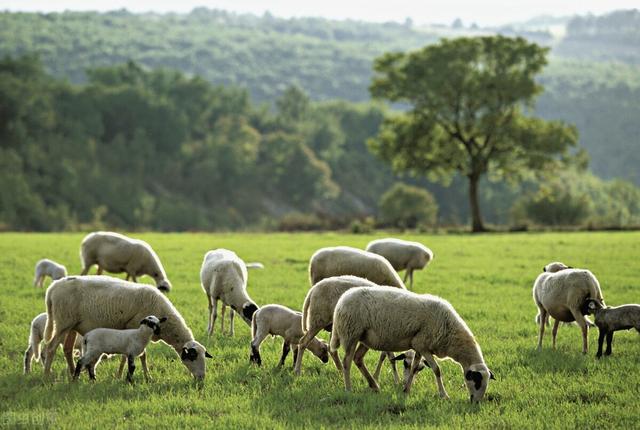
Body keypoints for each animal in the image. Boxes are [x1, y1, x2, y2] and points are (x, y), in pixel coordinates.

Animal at [43, 276, 212, 380]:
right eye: (192, 356)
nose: (201, 378)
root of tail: (52, 288)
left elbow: (138, 355)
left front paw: (143, 376)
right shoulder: (134, 329)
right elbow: (138, 355)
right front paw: (137, 376)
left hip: (71, 325)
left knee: (67, 349)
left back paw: (73, 374)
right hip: (63, 322)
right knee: (51, 348)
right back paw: (47, 375)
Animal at [330, 286, 496, 404]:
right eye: (477, 381)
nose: (476, 402)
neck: (451, 333)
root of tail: (340, 302)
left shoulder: (419, 346)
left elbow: (414, 367)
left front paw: (406, 390)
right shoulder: (423, 344)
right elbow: (437, 370)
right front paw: (444, 395)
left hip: (366, 338)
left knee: (358, 359)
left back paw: (374, 386)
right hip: (351, 333)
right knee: (347, 362)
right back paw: (348, 389)